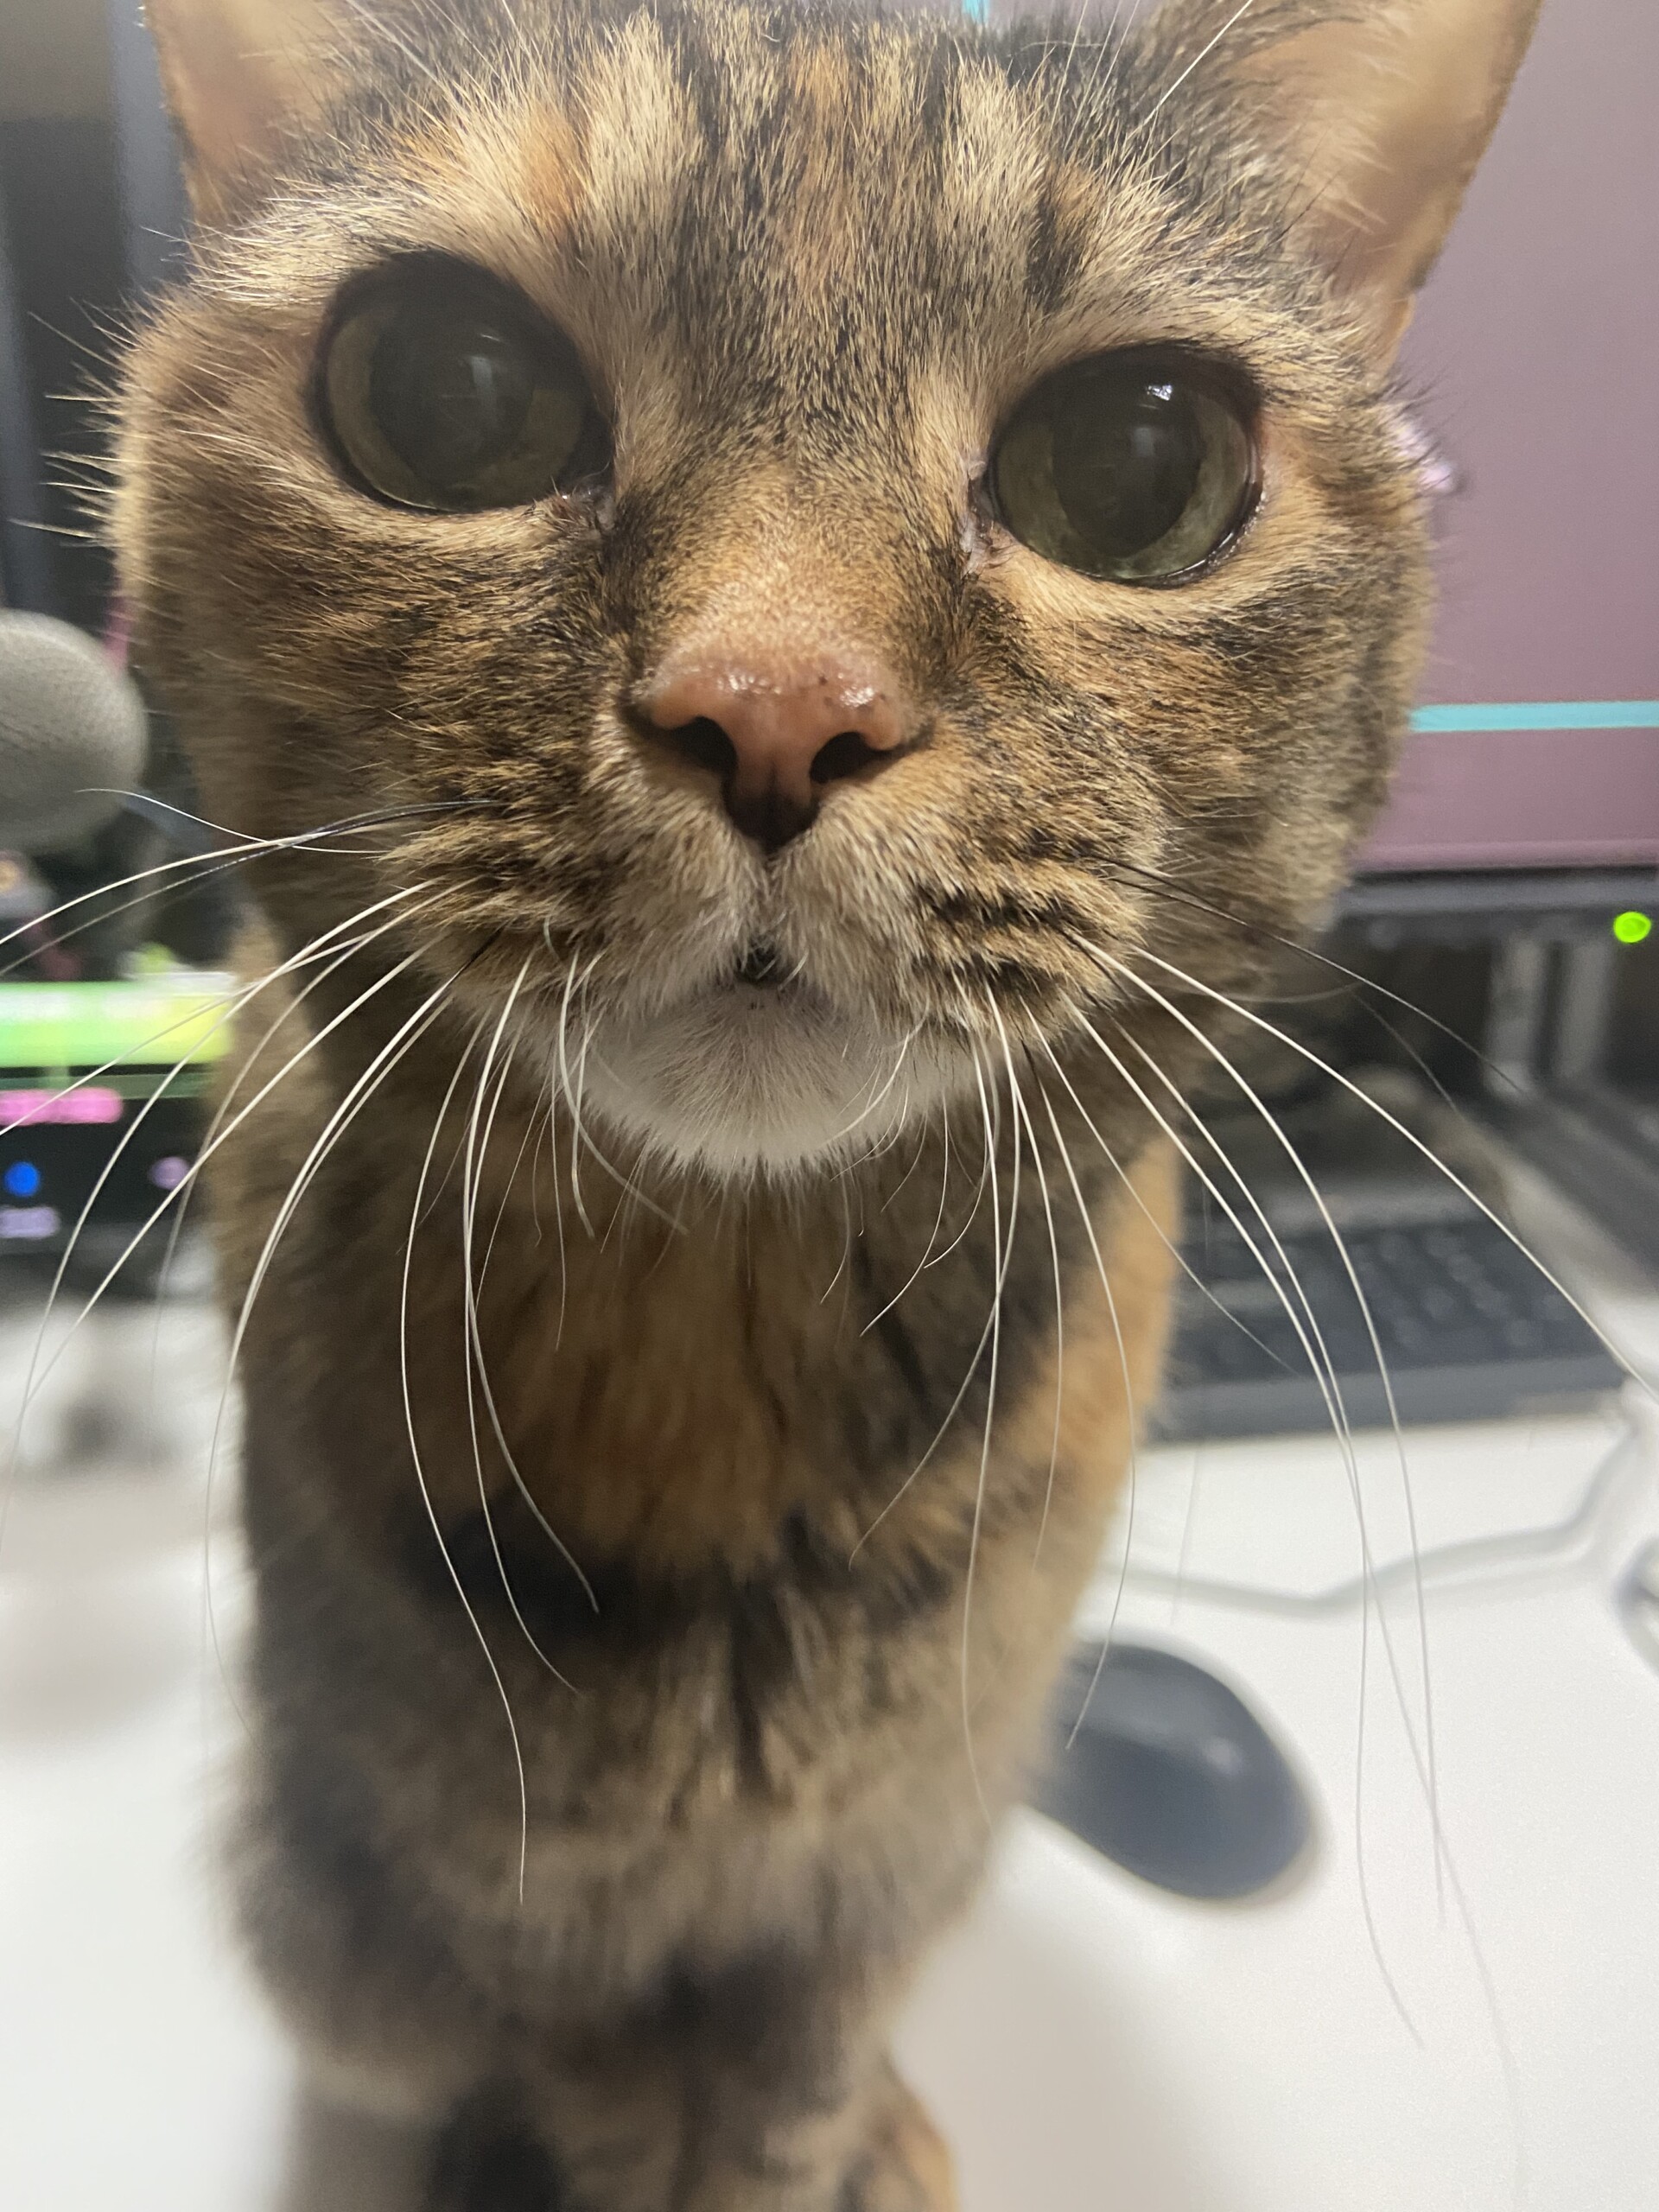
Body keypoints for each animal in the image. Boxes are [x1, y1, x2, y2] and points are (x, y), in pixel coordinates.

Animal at [116, 1, 1538, 2205]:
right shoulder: (500, 1906)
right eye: (445, 392)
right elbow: (585, 2094)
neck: (724, 1359)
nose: (776, 701)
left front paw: (813, 2143)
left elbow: (794, 2073)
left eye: (1138, 461)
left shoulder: (880, 1871)